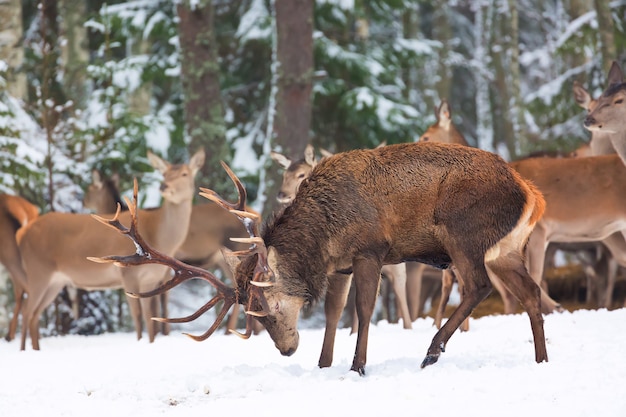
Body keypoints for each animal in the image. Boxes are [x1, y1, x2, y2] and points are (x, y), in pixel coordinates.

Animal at [16, 148, 205, 350]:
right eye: (164, 173)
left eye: (185, 173)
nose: (164, 186)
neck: (160, 238)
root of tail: (22, 233)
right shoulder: (128, 274)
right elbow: (137, 316)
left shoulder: (152, 279)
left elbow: (150, 318)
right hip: (38, 270)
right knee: (26, 311)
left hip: (55, 281)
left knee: (34, 314)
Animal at [92, 141, 544, 376]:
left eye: (266, 305)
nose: (286, 350)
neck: (324, 233)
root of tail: (531, 193)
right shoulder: (339, 264)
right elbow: (333, 311)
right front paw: (324, 364)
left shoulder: (370, 250)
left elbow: (362, 309)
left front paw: (357, 367)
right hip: (505, 249)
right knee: (532, 293)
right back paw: (542, 359)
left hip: (464, 233)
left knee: (478, 286)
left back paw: (432, 350)